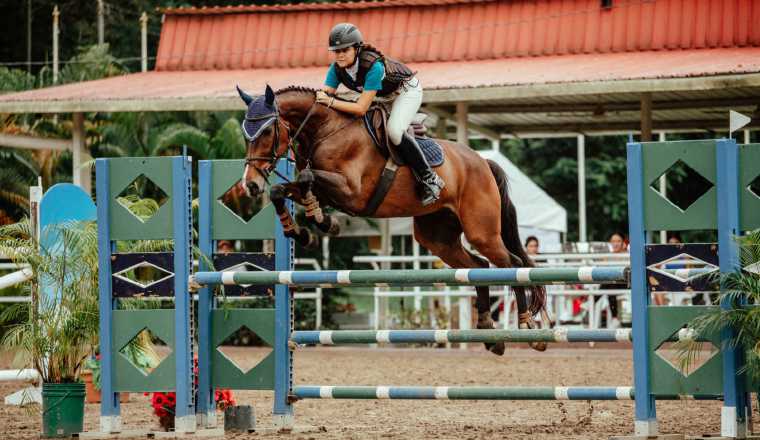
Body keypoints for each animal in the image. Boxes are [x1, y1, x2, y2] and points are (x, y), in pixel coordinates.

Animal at [238, 85, 548, 354]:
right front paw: (301, 230)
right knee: (479, 266)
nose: (250, 185)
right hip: (438, 238)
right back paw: (489, 332)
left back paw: (527, 327)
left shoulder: (351, 191)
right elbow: (284, 189)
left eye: (267, 131)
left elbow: (306, 177)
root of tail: (483, 162)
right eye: (245, 135)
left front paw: (322, 223)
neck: (326, 131)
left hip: (481, 231)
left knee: (511, 264)